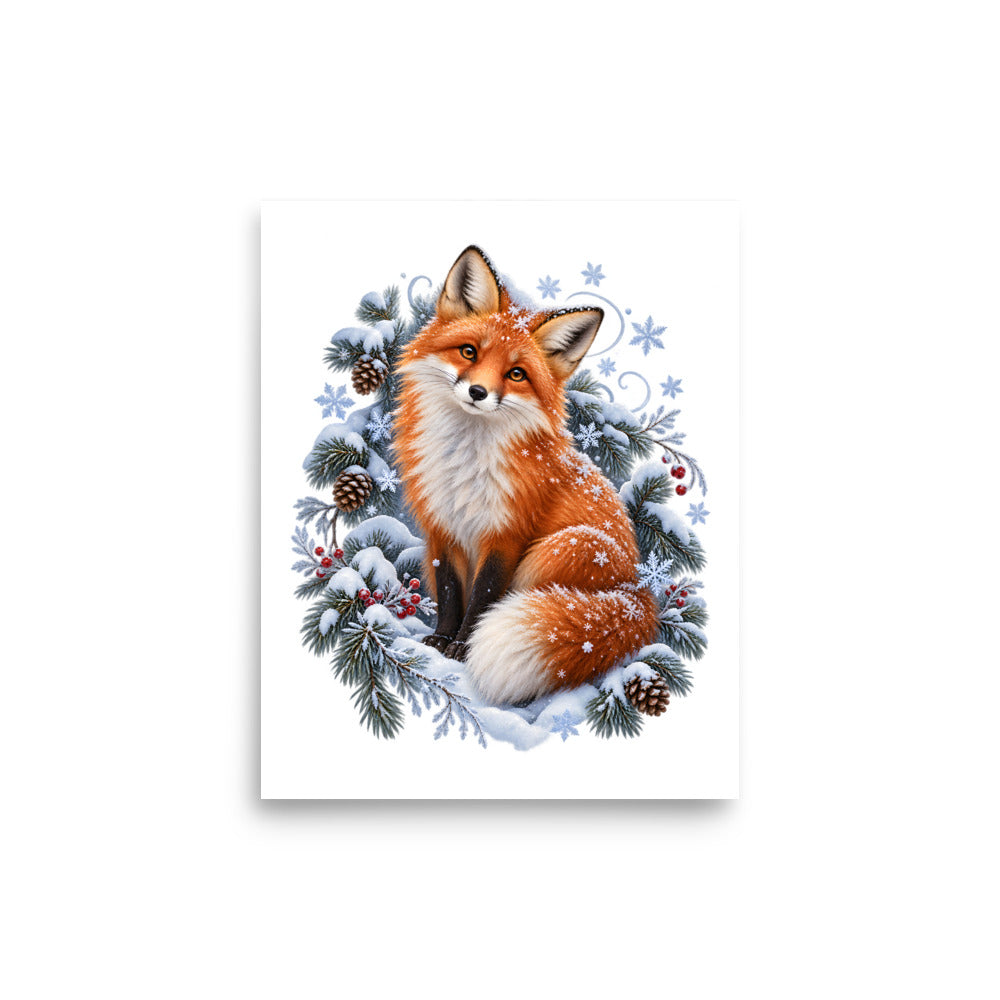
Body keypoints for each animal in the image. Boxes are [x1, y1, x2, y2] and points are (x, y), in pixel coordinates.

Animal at [393, 245, 659, 706]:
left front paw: (461, 649)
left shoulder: (507, 534)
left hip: (564, 547)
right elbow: (449, 593)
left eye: (516, 374)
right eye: (469, 352)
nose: (477, 393)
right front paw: (440, 640)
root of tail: (636, 593)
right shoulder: (441, 529)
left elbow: (482, 599)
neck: (465, 464)